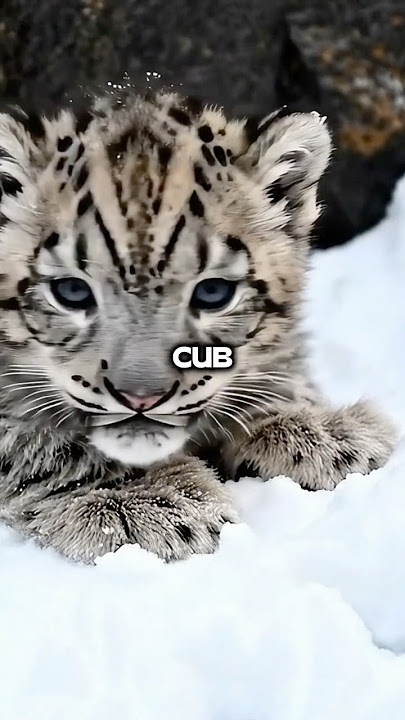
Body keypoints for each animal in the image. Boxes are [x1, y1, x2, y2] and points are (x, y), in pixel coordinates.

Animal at [0, 87, 396, 563]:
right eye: (72, 291)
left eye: (213, 293)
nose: (141, 397)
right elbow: (40, 440)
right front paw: (148, 502)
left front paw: (323, 432)